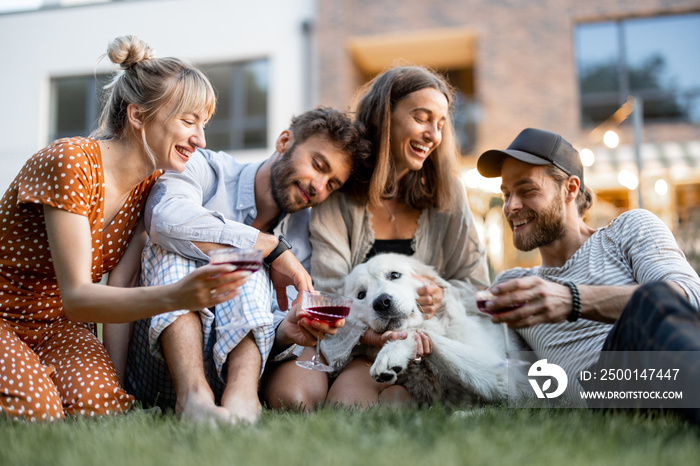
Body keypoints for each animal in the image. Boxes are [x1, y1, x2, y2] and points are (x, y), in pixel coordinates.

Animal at [336, 253, 524, 406]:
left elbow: (413, 331)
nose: (382, 302)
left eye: (394, 275)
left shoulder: (504, 376)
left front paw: (392, 353)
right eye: (361, 295)